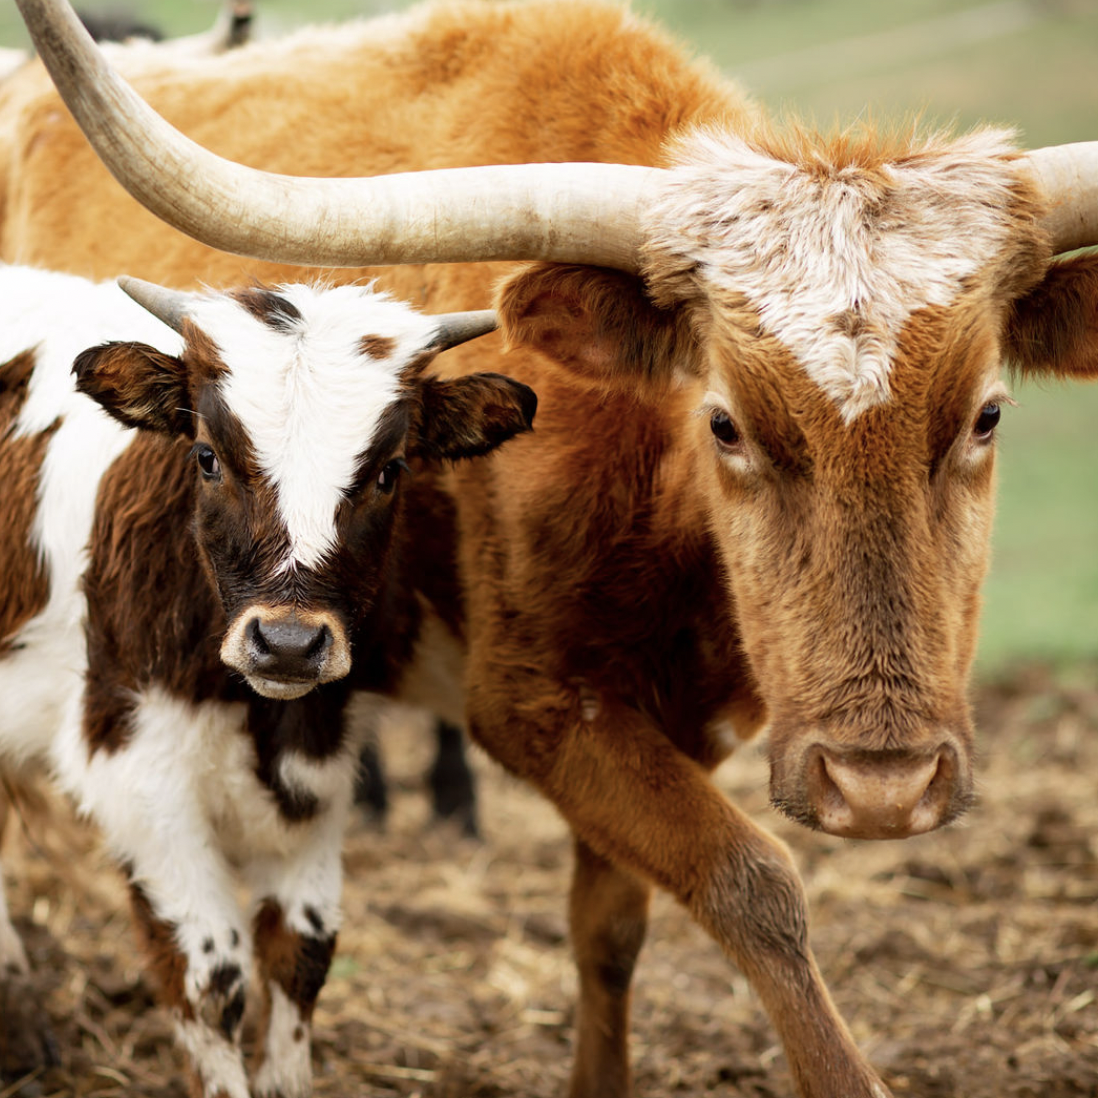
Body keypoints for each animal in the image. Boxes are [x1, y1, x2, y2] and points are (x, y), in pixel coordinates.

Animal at [0, 261, 531, 1093]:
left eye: (390, 471)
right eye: (207, 457)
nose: (287, 644)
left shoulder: (323, 769)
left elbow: (300, 956)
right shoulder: (136, 778)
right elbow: (211, 975)